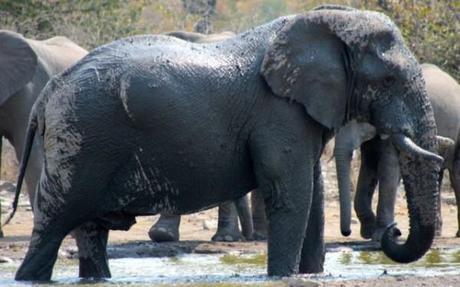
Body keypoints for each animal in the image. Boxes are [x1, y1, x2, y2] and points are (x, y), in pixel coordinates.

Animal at [334, 63, 460, 241]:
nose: (347, 233)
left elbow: (388, 166)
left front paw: (381, 235)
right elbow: (369, 164)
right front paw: (369, 231)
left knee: (455, 173)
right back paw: (435, 233)